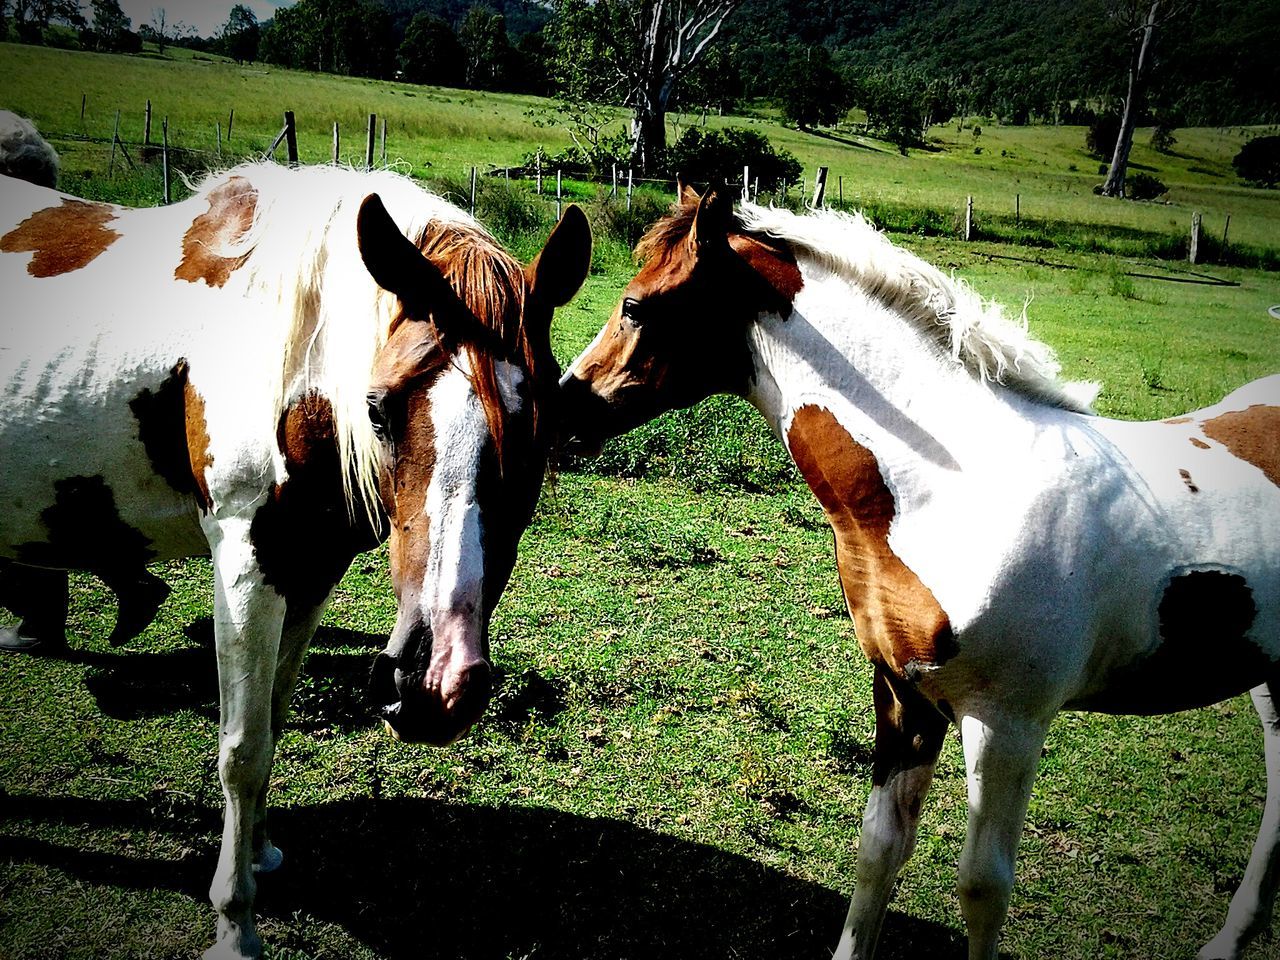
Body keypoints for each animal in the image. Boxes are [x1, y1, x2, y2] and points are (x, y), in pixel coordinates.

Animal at [0, 161, 588, 957]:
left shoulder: (312, 573)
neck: (294, 373)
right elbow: (243, 750)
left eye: (545, 429)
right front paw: (234, 923)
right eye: (378, 410)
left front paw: (263, 853)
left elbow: (275, 720)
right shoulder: (249, 570)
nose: (434, 685)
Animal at [560, 185, 1280, 960]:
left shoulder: (1007, 724)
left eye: (636, 305)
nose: (562, 405)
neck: (958, 486)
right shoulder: (905, 693)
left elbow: (983, 888)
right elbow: (879, 847)